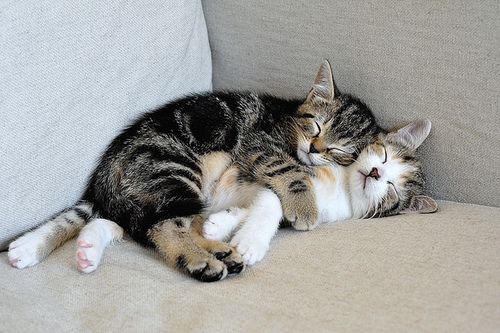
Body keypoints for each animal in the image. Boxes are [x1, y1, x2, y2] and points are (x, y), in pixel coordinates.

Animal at [8, 60, 378, 280]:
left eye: (339, 150)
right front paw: (304, 206)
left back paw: (220, 251)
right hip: (174, 169)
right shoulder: (259, 143)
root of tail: (107, 169)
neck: (288, 122)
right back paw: (202, 260)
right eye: (315, 126)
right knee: (163, 227)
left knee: (177, 223)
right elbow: (291, 171)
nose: (314, 149)